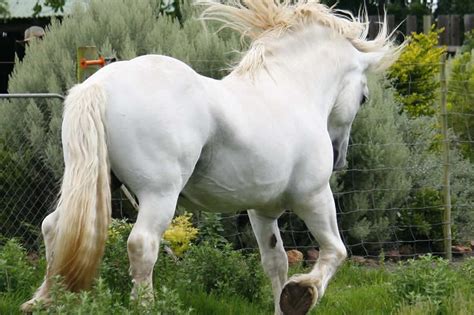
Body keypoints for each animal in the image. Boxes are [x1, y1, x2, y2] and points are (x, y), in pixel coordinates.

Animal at [21, 1, 400, 314]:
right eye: (364, 97)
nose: (339, 157)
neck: (290, 91)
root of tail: (100, 85)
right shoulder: (314, 196)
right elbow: (335, 251)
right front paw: (302, 294)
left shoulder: (262, 211)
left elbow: (275, 262)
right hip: (159, 194)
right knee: (142, 244)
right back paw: (146, 306)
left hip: (96, 180)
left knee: (54, 227)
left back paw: (43, 300)